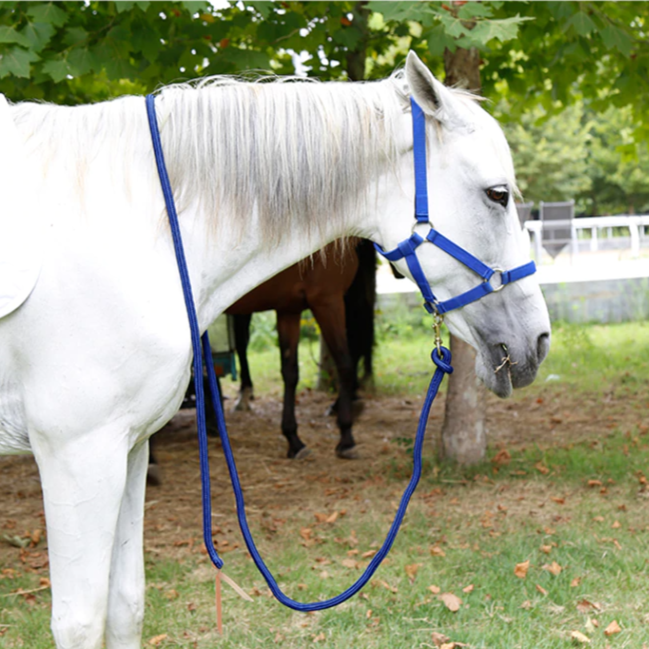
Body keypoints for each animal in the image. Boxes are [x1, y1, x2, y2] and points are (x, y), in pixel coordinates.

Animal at [228, 238, 375, 460]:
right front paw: (346, 437)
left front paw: (293, 439)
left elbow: (290, 372)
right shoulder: (328, 301)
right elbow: (345, 364)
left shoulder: (289, 309)